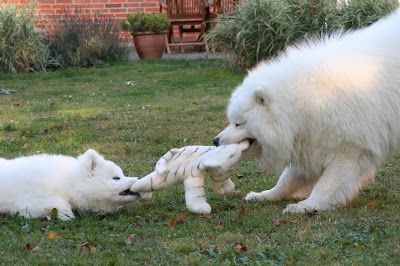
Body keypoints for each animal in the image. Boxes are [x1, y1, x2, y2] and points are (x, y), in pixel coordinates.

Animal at [0, 150, 144, 220]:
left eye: (122, 174)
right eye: (116, 178)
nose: (139, 178)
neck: (69, 183)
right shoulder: (27, 202)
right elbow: (59, 201)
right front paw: (66, 215)